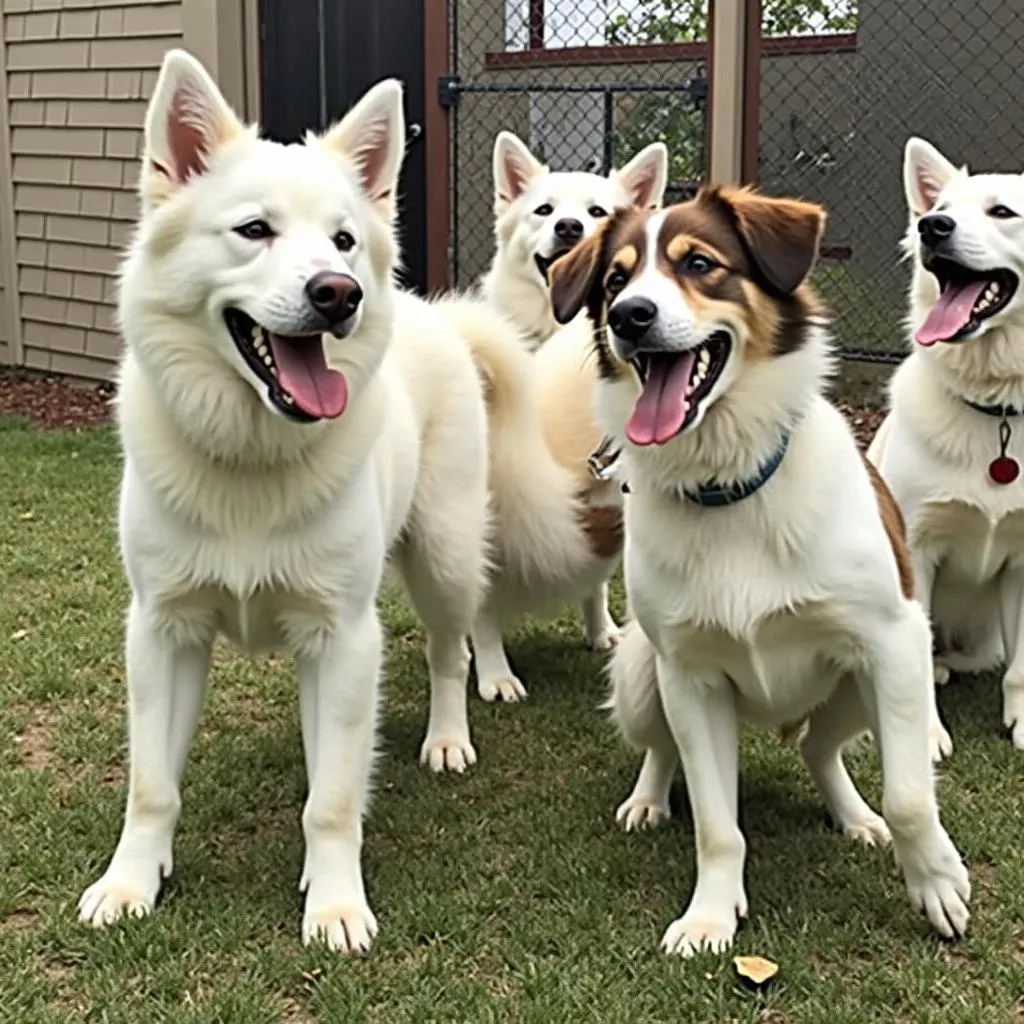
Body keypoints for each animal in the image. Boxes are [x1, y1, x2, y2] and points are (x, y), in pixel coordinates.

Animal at [75, 51, 491, 954]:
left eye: (342, 240)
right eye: (254, 230)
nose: (339, 293)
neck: (249, 459)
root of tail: (428, 311)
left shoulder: (345, 641)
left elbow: (330, 801)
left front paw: (334, 906)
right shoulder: (161, 632)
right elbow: (151, 785)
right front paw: (132, 882)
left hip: (444, 562)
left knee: (452, 653)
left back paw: (448, 738)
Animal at [460, 132, 667, 700]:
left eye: (597, 212)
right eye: (544, 210)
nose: (570, 227)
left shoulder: (608, 495)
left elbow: (597, 578)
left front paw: (602, 631)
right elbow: (485, 606)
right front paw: (495, 673)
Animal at [552, 188, 966, 954]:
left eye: (699, 264)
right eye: (615, 281)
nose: (629, 317)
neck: (730, 485)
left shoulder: (893, 643)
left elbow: (908, 794)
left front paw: (936, 882)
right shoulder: (691, 679)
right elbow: (718, 825)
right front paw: (711, 914)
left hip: (862, 686)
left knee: (818, 748)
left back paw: (854, 816)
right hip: (641, 675)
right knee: (663, 749)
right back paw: (647, 799)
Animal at [868, 138, 1024, 761]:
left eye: (1002, 211)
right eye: (942, 210)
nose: (931, 226)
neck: (998, 412)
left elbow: (1021, 668)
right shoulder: (916, 549)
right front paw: (926, 735)